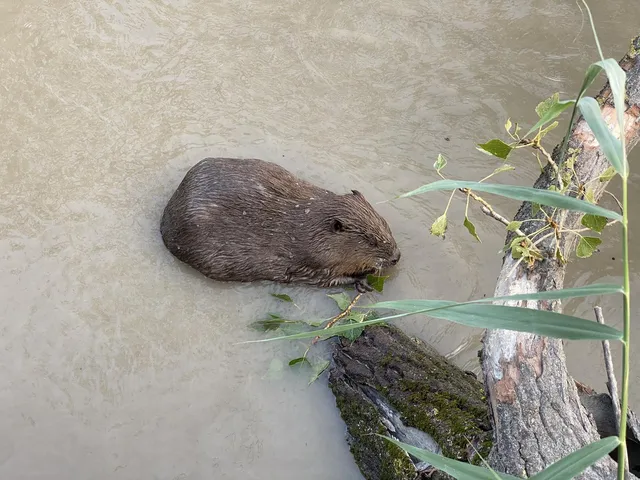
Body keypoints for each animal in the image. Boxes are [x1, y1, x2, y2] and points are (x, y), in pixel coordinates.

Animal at [160, 158, 400, 292]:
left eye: (385, 224)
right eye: (371, 240)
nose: (396, 257)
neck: (312, 226)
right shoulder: (309, 263)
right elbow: (327, 280)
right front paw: (363, 282)